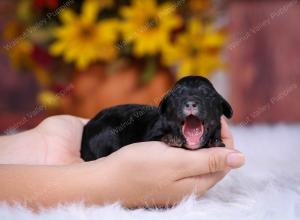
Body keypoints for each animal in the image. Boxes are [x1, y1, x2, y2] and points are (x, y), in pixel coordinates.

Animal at [79, 76, 232, 161]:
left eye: (208, 95)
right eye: (177, 95)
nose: (190, 103)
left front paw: (215, 141)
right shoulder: (151, 133)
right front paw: (171, 137)